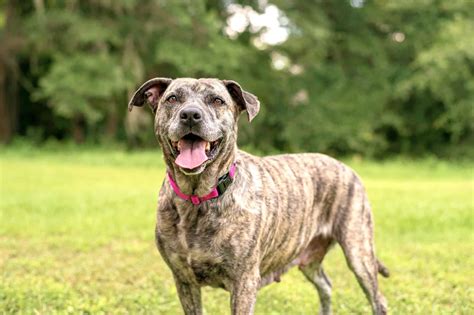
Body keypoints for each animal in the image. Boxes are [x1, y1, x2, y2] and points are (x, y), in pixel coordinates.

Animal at [127, 78, 388, 314]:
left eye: (217, 100)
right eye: (172, 98)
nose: (190, 114)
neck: (198, 198)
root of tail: (345, 166)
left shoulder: (244, 282)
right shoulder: (184, 280)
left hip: (358, 251)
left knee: (377, 298)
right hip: (309, 256)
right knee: (325, 284)